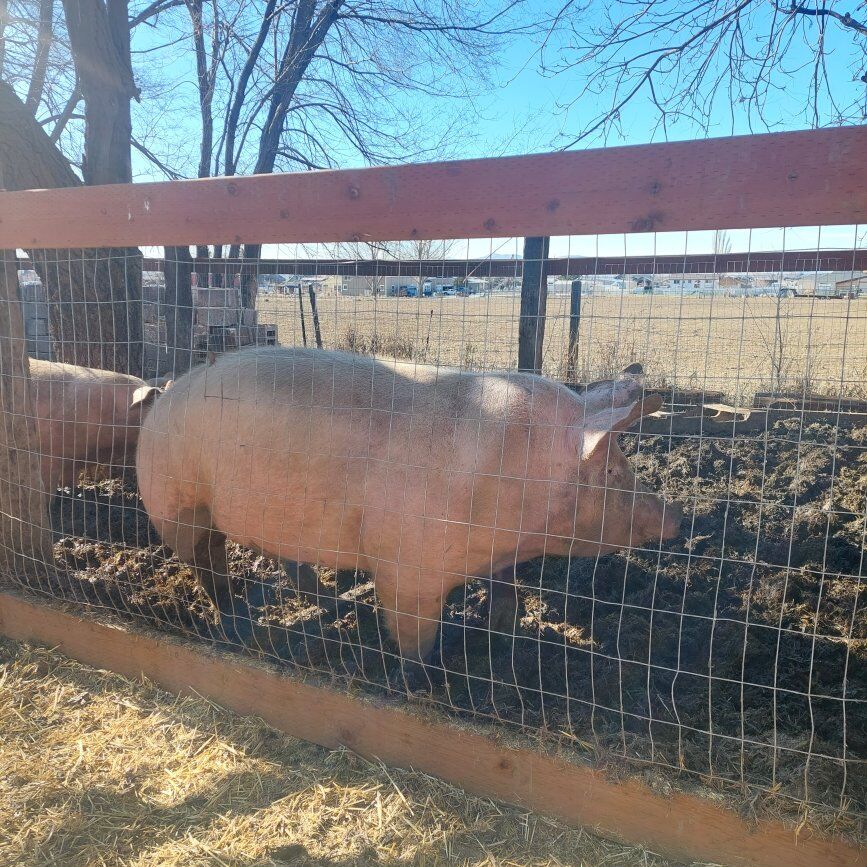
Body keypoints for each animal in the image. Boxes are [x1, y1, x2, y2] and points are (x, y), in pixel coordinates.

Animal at [135, 346, 682, 659]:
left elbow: (508, 596)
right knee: (208, 564)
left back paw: (332, 605)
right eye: (610, 471)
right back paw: (235, 624)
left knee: (287, 560)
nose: (676, 515)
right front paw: (423, 678)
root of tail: (168, 390)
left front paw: (501, 643)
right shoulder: (407, 566)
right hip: (178, 503)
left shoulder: (499, 557)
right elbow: (413, 633)